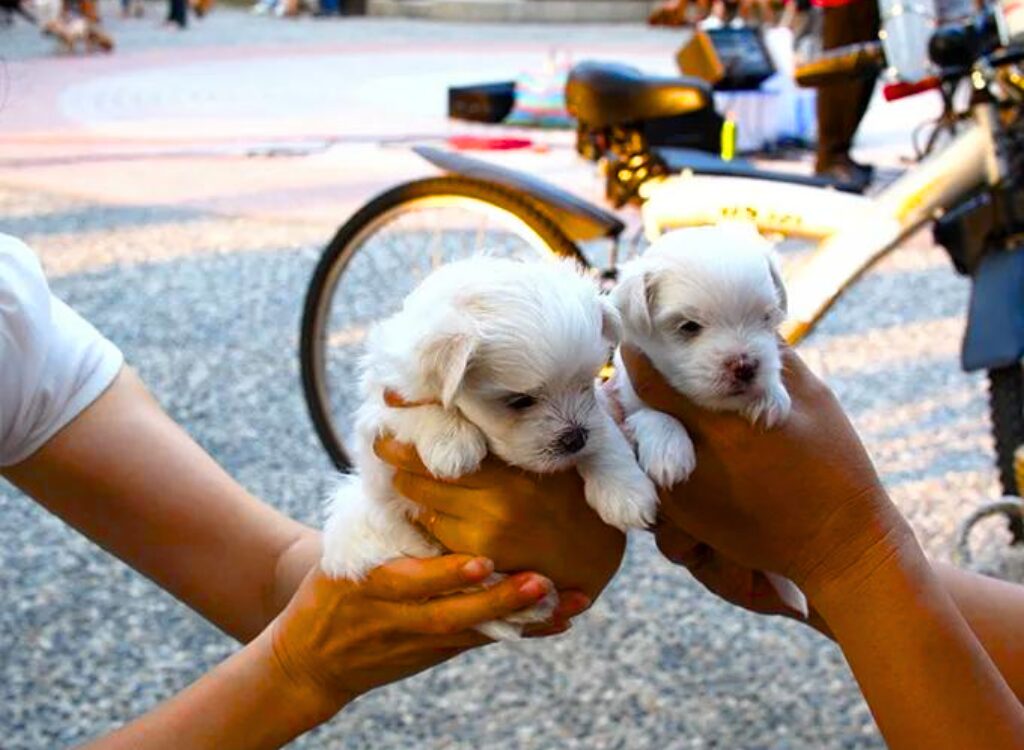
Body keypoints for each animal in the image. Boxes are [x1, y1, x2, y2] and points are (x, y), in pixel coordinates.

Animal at [323, 253, 659, 639]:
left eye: (586, 383)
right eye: (520, 401)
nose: (575, 438)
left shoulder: (596, 416)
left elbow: (605, 436)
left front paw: (626, 493)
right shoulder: (381, 408)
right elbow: (424, 408)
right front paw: (453, 443)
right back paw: (529, 602)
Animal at [606, 222, 790, 489]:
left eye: (766, 317)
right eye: (689, 326)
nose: (746, 366)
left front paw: (772, 395)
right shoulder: (628, 396)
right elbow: (650, 413)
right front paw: (667, 449)